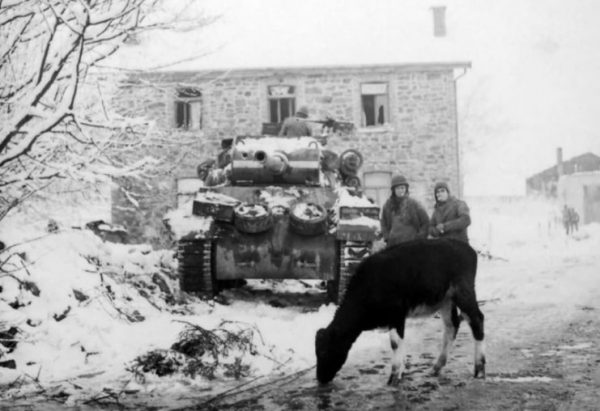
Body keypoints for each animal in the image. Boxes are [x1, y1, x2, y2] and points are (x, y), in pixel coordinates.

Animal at [316, 238, 486, 386]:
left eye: (323, 352)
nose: (320, 378)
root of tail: (467, 248)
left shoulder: (397, 315)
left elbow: (395, 343)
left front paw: (394, 377)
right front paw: (401, 372)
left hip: (463, 291)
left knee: (477, 320)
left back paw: (479, 369)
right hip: (446, 300)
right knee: (452, 326)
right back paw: (437, 366)